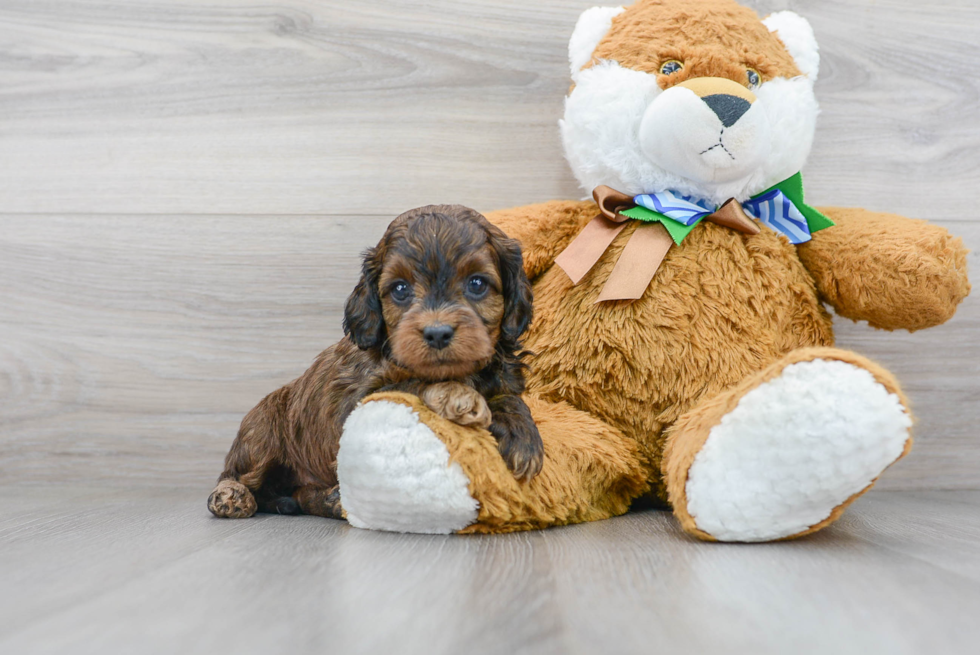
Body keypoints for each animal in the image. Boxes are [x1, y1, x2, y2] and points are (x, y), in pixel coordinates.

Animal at [209, 202, 544, 520]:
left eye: (476, 284)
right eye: (400, 289)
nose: (437, 333)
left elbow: (509, 397)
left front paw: (523, 434)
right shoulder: (356, 403)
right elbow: (411, 384)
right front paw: (458, 394)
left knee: (301, 494)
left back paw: (329, 500)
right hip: (262, 430)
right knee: (235, 472)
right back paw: (230, 496)